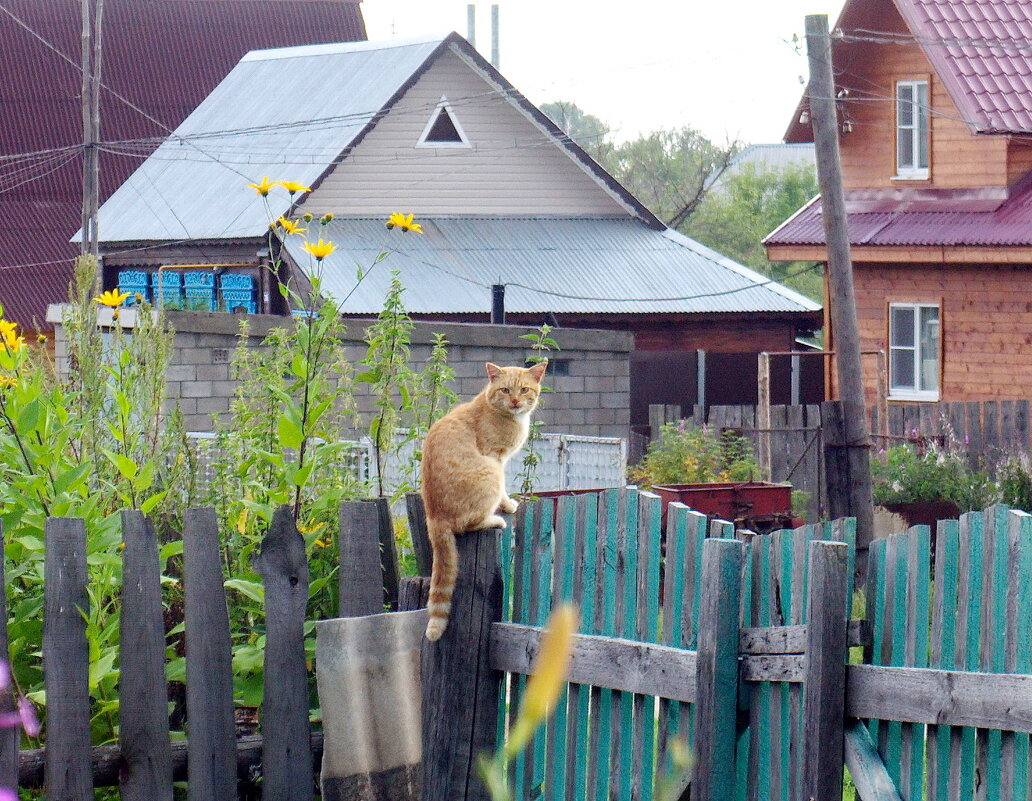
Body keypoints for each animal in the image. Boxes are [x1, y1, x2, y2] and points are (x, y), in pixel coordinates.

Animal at [418, 359, 549, 639]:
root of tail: (434, 516)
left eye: (523, 389)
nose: (515, 401)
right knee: (467, 524)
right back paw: (495, 520)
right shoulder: (496, 457)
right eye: (505, 390)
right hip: (489, 471)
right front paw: (508, 505)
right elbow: (504, 491)